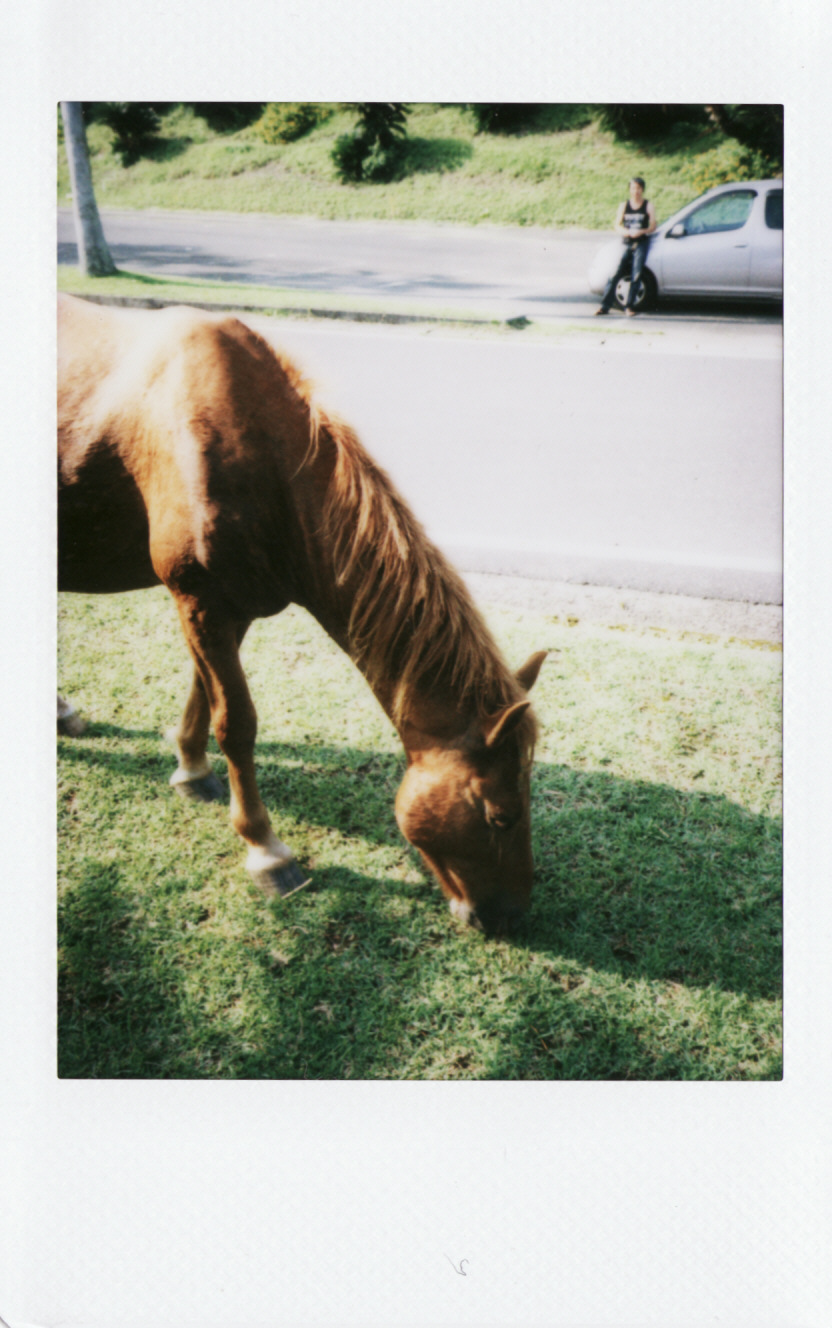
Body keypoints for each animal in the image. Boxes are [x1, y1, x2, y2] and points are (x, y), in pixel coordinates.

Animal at [58, 294, 546, 929]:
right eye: (499, 817)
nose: (511, 916)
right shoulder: (200, 601)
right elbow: (237, 722)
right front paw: (265, 850)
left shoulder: (227, 607)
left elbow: (202, 691)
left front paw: (191, 767)